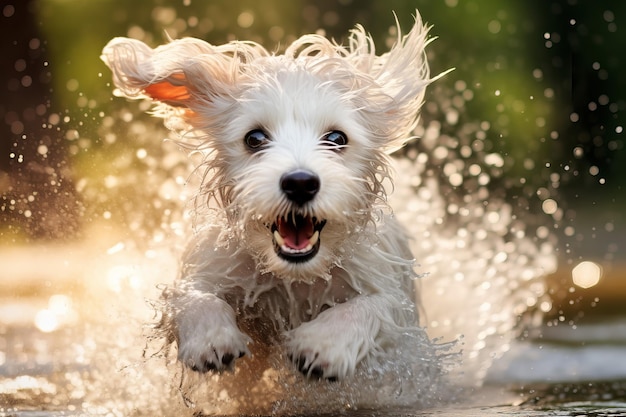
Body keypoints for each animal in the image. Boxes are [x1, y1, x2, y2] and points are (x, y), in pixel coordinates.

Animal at [101, 11, 438, 382]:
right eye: (255, 138)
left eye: (337, 138)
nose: (300, 182)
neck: (294, 277)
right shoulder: (211, 264)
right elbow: (190, 294)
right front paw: (210, 338)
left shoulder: (391, 293)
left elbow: (373, 306)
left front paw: (325, 342)